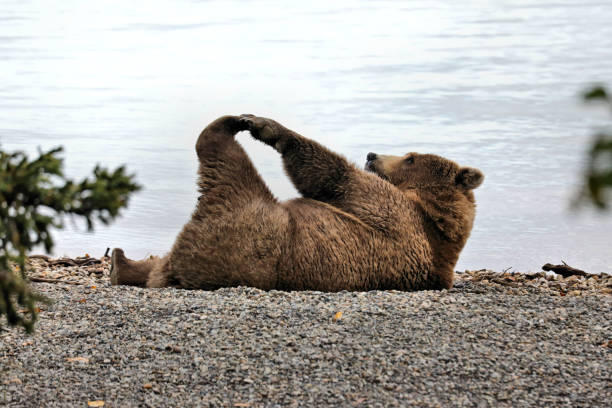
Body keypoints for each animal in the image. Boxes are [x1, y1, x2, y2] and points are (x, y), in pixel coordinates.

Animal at [110, 114, 482, 290]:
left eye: (410, 158)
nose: (372, 155)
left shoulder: (396, 214)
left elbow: (335, 178)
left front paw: (268, 127)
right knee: (156, 263)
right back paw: (120, 262)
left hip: (245, 225)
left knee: (226, 166)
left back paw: (226, 125)